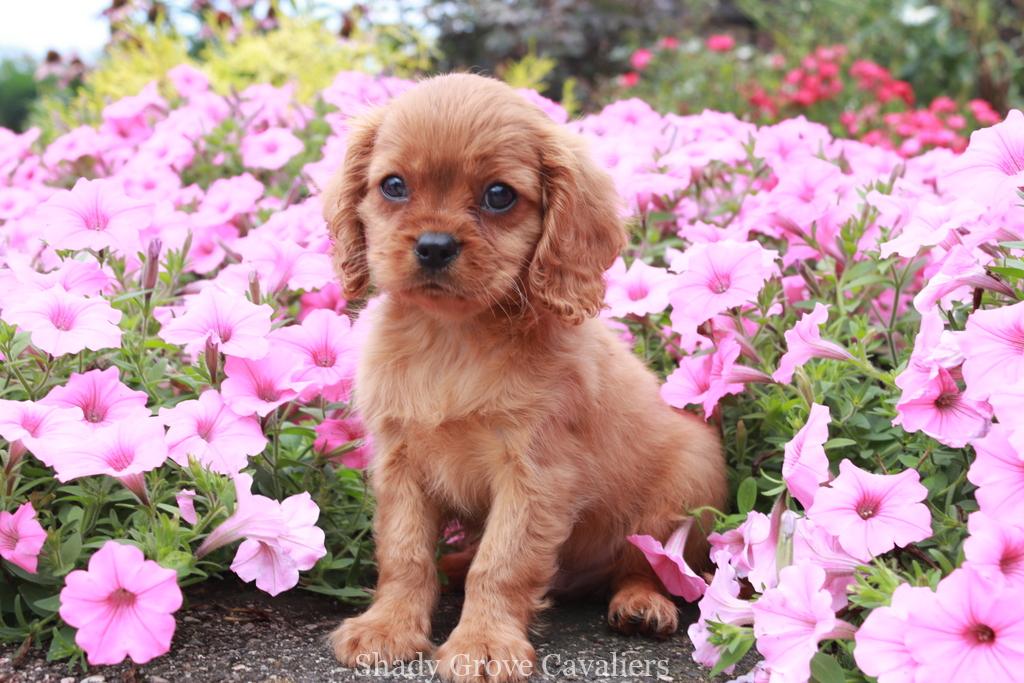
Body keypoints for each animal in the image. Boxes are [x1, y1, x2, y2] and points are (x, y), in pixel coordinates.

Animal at [321, 72, 729, 679]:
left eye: (499, 195)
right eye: (393, 186)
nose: (434, 246)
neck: (454, 337)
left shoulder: (535, 474)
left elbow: (502, 562)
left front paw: (483, 644)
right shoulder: (401, 464)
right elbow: (404, 551)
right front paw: (388, 627)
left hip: (687, 480)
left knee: (648, 564)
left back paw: (641, 604)